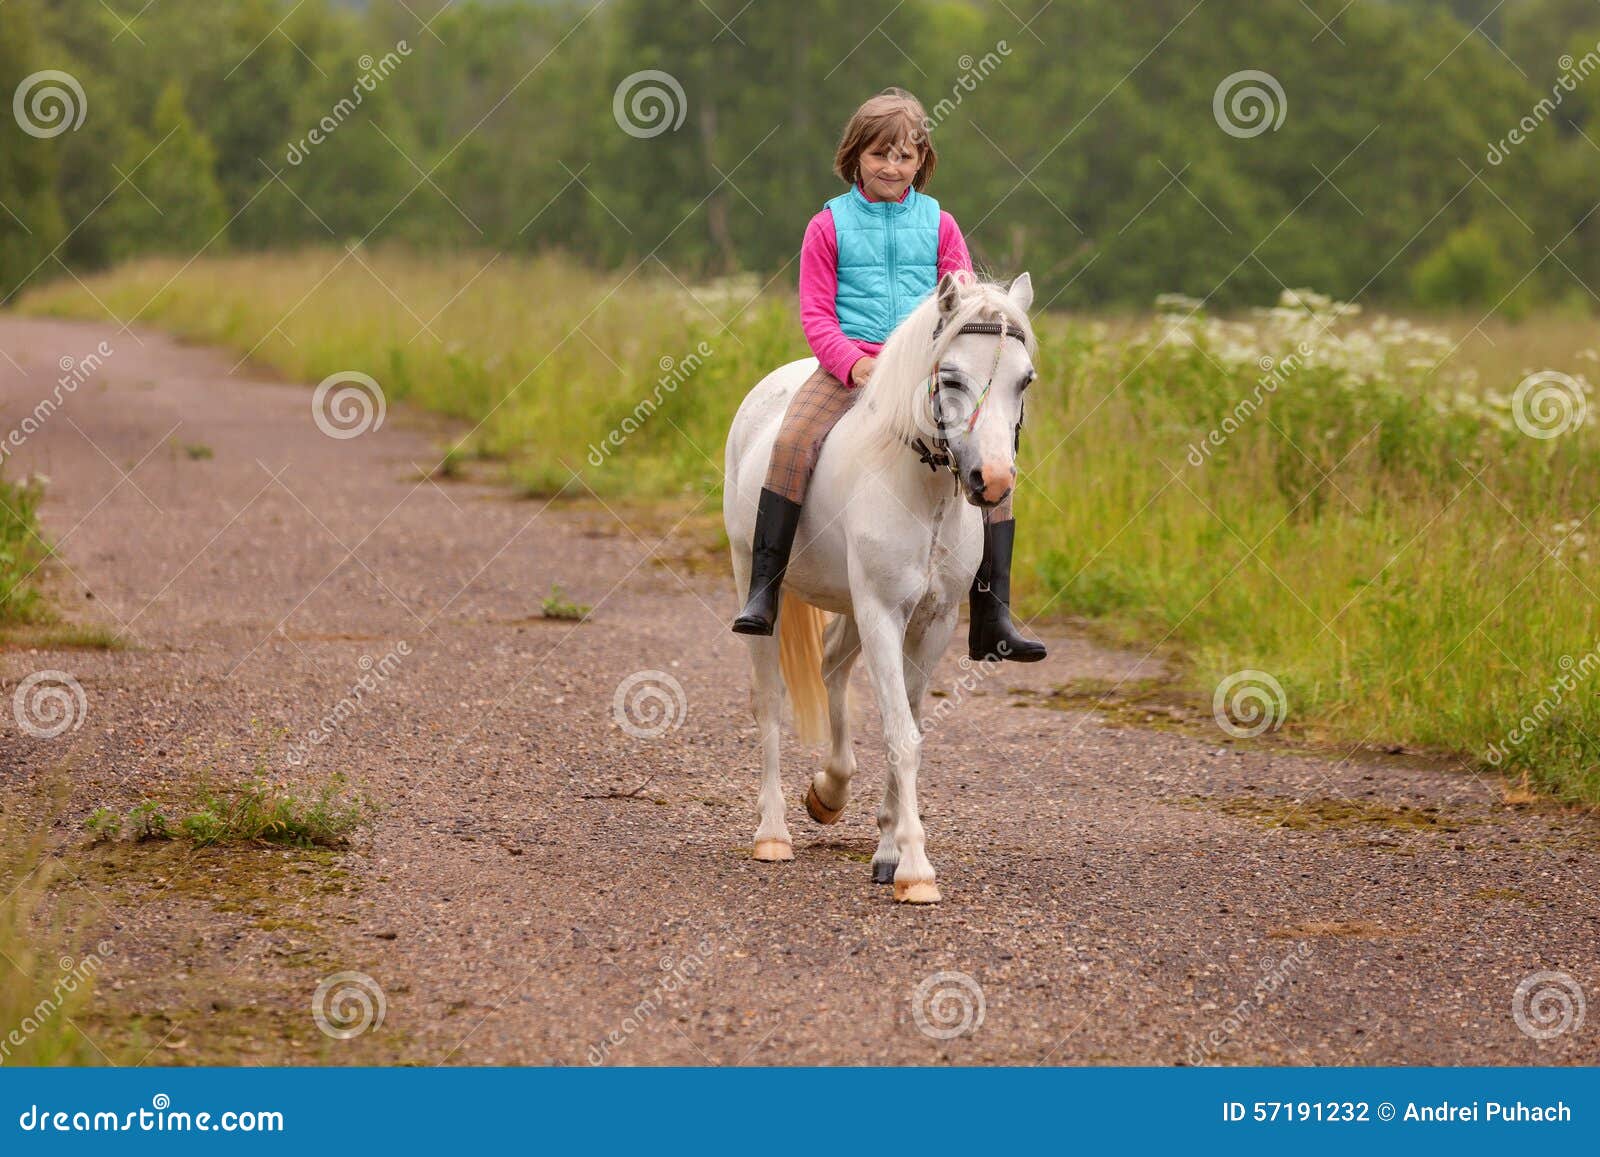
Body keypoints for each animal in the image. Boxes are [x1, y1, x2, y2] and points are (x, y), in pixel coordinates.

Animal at [723, 272, 1036, 902]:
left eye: (1025, 379)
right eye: (951, 377)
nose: (992, 482)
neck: (922, 486)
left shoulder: (931, 622)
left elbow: (908, 725)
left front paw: (888, 851)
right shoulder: (883, 613)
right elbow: (902, 735)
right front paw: (915, 868)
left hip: (848, 604)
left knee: (830, 668)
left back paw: (829, 792)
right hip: (756, 580)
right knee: (769, 699)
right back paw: (773, 834)